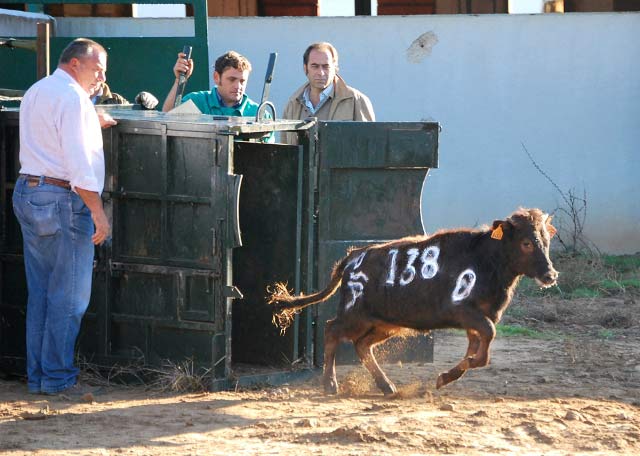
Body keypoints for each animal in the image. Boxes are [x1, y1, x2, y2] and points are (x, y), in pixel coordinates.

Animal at [268, 208, 556, 394]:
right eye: (526, 242)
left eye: (547, 241)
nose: (550, 275)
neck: (486, 259)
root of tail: (352, 257)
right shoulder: (464, 311)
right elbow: (486, 340)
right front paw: (447, 375)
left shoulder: (477, 320)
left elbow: (477, 350)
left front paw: (445, 377)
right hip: (354, 316)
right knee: (332, 330)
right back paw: (330, 385)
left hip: (385, 323)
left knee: (362, 345)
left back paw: (386, 386)